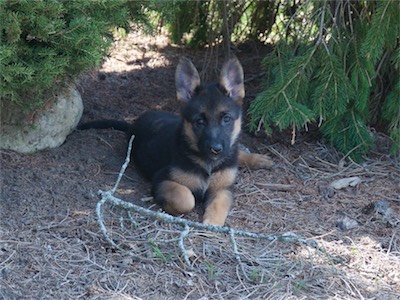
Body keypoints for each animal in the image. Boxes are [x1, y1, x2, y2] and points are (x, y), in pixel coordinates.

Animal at [78, 56, 272, 225]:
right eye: (199, 121)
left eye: (226, 119)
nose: (215, 149)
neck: (207, 163)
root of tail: (134, 123)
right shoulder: (162, 180)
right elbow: (186, 198)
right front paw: (169, 206)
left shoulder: (224, 188)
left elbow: (219, 205)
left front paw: (212, 224)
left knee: (237, 152)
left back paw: (259, 159)